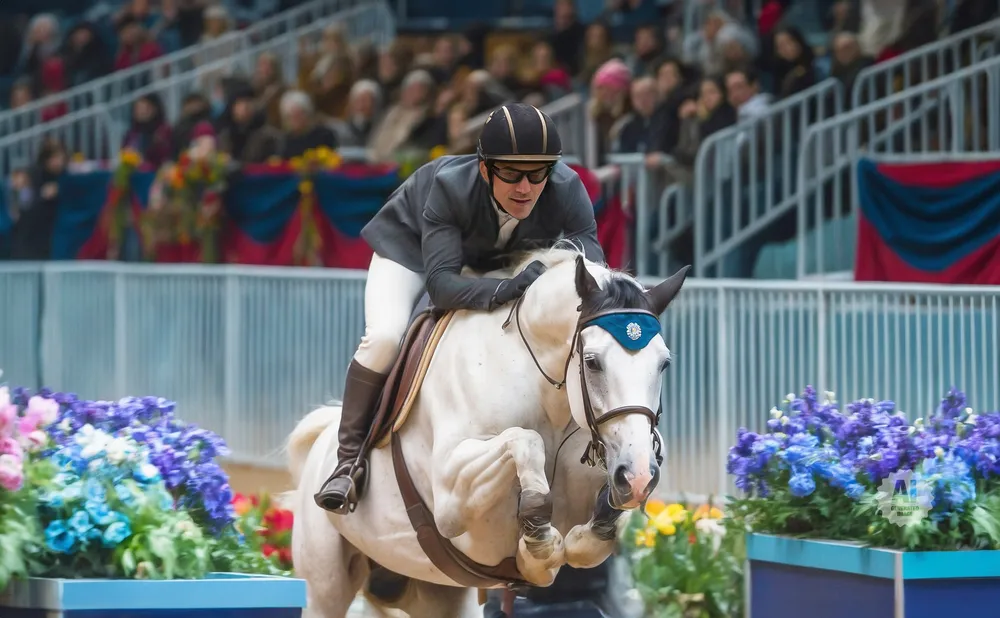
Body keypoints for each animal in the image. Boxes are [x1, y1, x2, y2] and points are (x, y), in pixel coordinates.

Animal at [284, 245, 690, 618]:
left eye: (664, 364)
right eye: (592, 363)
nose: (637, 476)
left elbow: (593, 536)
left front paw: (557, 543)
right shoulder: (451, 495)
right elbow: (525, 440)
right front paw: (538, 546)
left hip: (438, 593)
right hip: (324, 584)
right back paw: (341, 481)